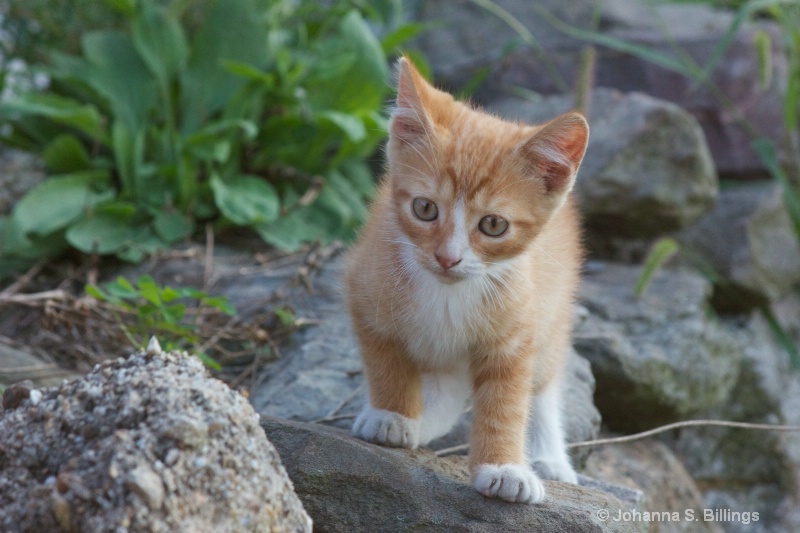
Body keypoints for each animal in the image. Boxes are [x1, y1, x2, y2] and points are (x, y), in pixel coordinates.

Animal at [344, 58, 588, 502]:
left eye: (493, 225)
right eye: (424, 208)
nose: (447, 257)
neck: (448, 293)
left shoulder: (517, 331)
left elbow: (507, 401)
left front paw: (506, 467)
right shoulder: (365, 292)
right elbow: (387, 362)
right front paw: (392, 415)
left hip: (554, 312)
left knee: (543, 385)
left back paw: (550, 457)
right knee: (449, 390)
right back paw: (420, 421)